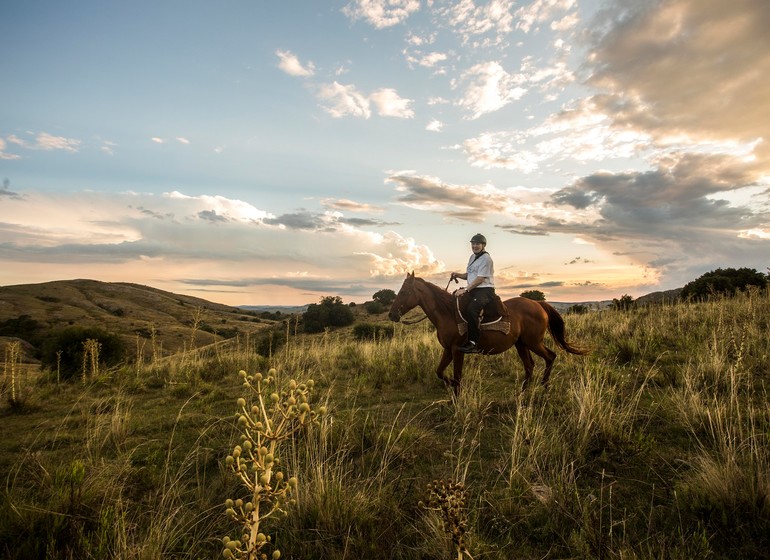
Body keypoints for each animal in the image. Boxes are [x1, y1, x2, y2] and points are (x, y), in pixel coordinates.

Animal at [388, 272, 584, 394]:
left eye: (404, 292)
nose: (392, 315)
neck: (447, 313)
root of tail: (538, 304)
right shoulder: (448, 349)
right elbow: (439, 371)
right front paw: (450, 386)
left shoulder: (458, 350)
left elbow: (457, 376)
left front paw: (457, 397)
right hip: (521, 344)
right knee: (529, 366)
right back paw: (522, 392)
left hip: (533, 342)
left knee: (550, 357)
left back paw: (544, 386)